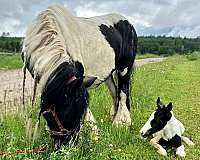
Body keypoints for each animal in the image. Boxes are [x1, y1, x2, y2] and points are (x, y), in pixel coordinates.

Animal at [21, 4, 138, 149]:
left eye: (71, 109)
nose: (67, 143)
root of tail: (128, 23)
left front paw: (94, 134)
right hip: (108, 74)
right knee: (114, 92)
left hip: (124, 68)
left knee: (123, 92)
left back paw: (121, 123)